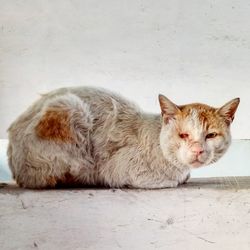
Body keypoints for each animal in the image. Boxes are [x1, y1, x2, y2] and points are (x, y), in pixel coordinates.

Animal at [6, 87, 239, 188]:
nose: (198, 150)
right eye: (184, 135)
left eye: (211, 135)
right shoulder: (120, 170)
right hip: (68, 107)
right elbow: (171, 181)